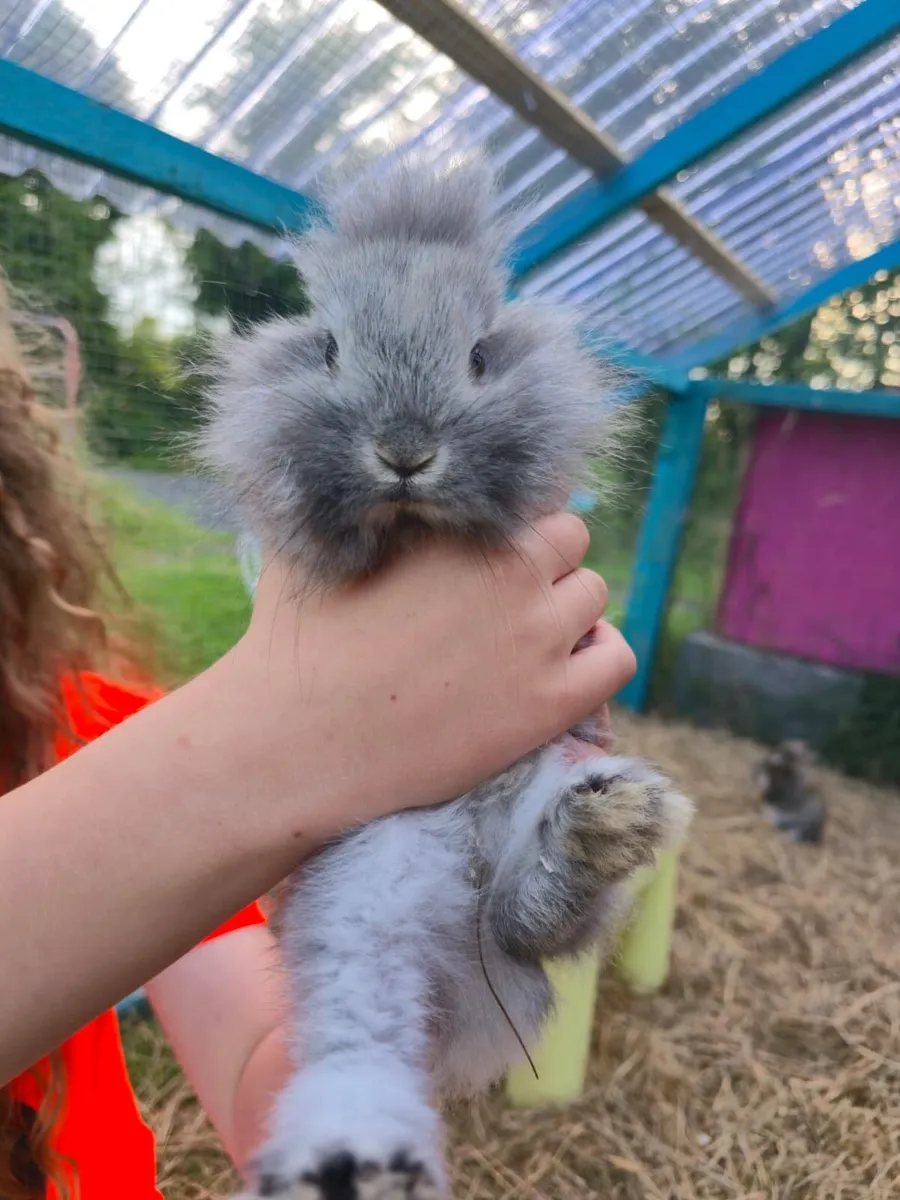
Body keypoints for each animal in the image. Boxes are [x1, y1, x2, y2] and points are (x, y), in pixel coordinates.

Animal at [198, 156, 693, 1200]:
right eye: (328, 348)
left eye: (479, 355)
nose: (405, 452)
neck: (411, 527)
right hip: (363, 887)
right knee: (362, 1032)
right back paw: (353, 1156)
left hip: (540, 802)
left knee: (532, 921)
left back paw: (605, 827)